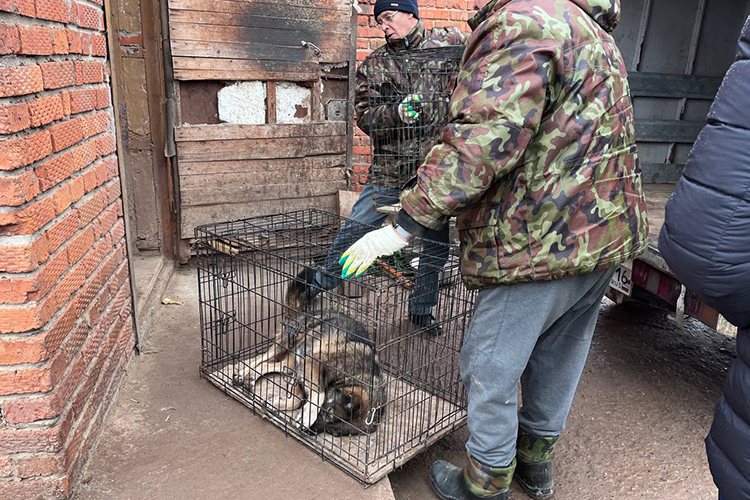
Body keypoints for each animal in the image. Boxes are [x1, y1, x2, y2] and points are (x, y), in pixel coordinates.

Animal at [238, 268, 388, 436]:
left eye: (334, 432)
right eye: (327, 413)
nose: (312, 431)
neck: (355, 376)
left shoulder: (301, 370)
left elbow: (297, 400)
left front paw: (279, 404)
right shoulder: (313, 363)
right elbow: (319, 393)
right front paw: (307, 417)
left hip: (292, 362)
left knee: (267, 365)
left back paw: (251, 376)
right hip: (287, 342)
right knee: (259, 358)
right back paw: (242, 373)